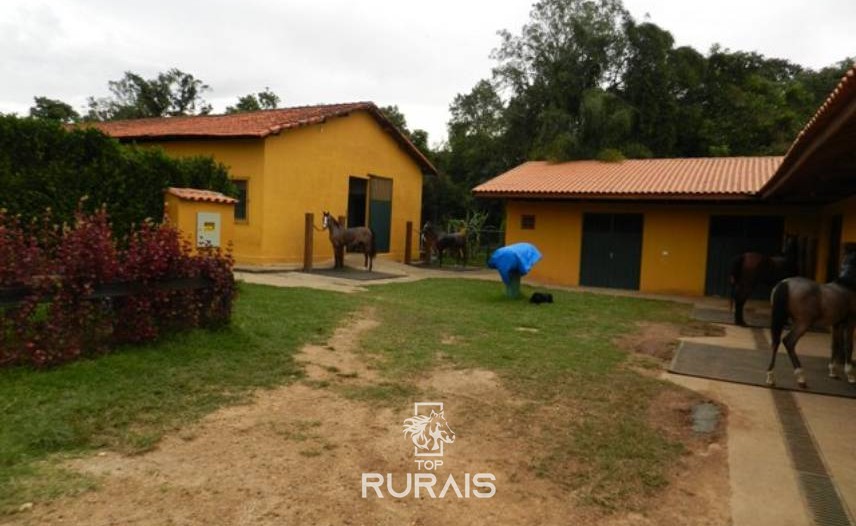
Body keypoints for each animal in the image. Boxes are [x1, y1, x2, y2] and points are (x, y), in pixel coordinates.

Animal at [764, 250, 856, 390]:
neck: (847, 285)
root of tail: (785, 283)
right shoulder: (850, 323)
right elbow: (848, 346)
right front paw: (850, 376)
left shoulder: (836, 324)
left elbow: (835, 345)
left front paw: (833, 372)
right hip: (803, 324)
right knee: (788, 342)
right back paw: (801, 377)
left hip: (782, 321)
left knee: (776, 343)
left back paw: (770, 378)